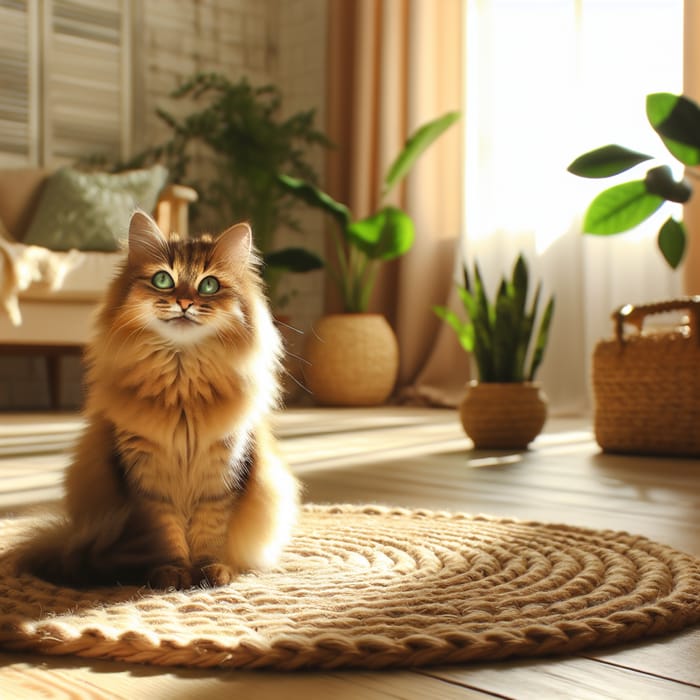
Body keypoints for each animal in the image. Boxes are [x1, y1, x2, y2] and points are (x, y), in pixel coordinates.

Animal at [19, 211, 298, 588]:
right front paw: (172, 573)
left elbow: (210, 533)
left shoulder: (222, 474)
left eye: (209, 286)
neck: (182, 390)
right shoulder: (148, 484)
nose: (184, 302)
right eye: (163, 280)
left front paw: (210, 571)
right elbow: (166, 535)